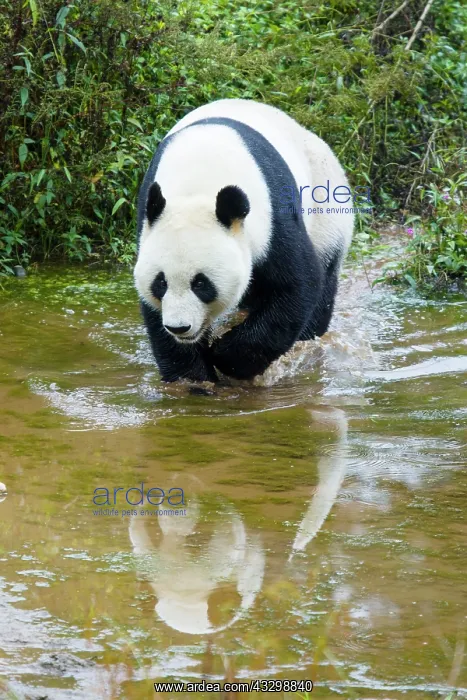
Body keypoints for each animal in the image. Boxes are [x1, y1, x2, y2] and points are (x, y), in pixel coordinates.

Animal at [134, 99, 354, 382]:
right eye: (160, 282)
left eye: (201, 284)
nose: (179, 327)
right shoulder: (148, 219)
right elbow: (155, 317)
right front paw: (193, 378)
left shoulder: (273, 217)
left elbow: (297, 285)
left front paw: (227, 357)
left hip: (326, 202)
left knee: (324, 278)